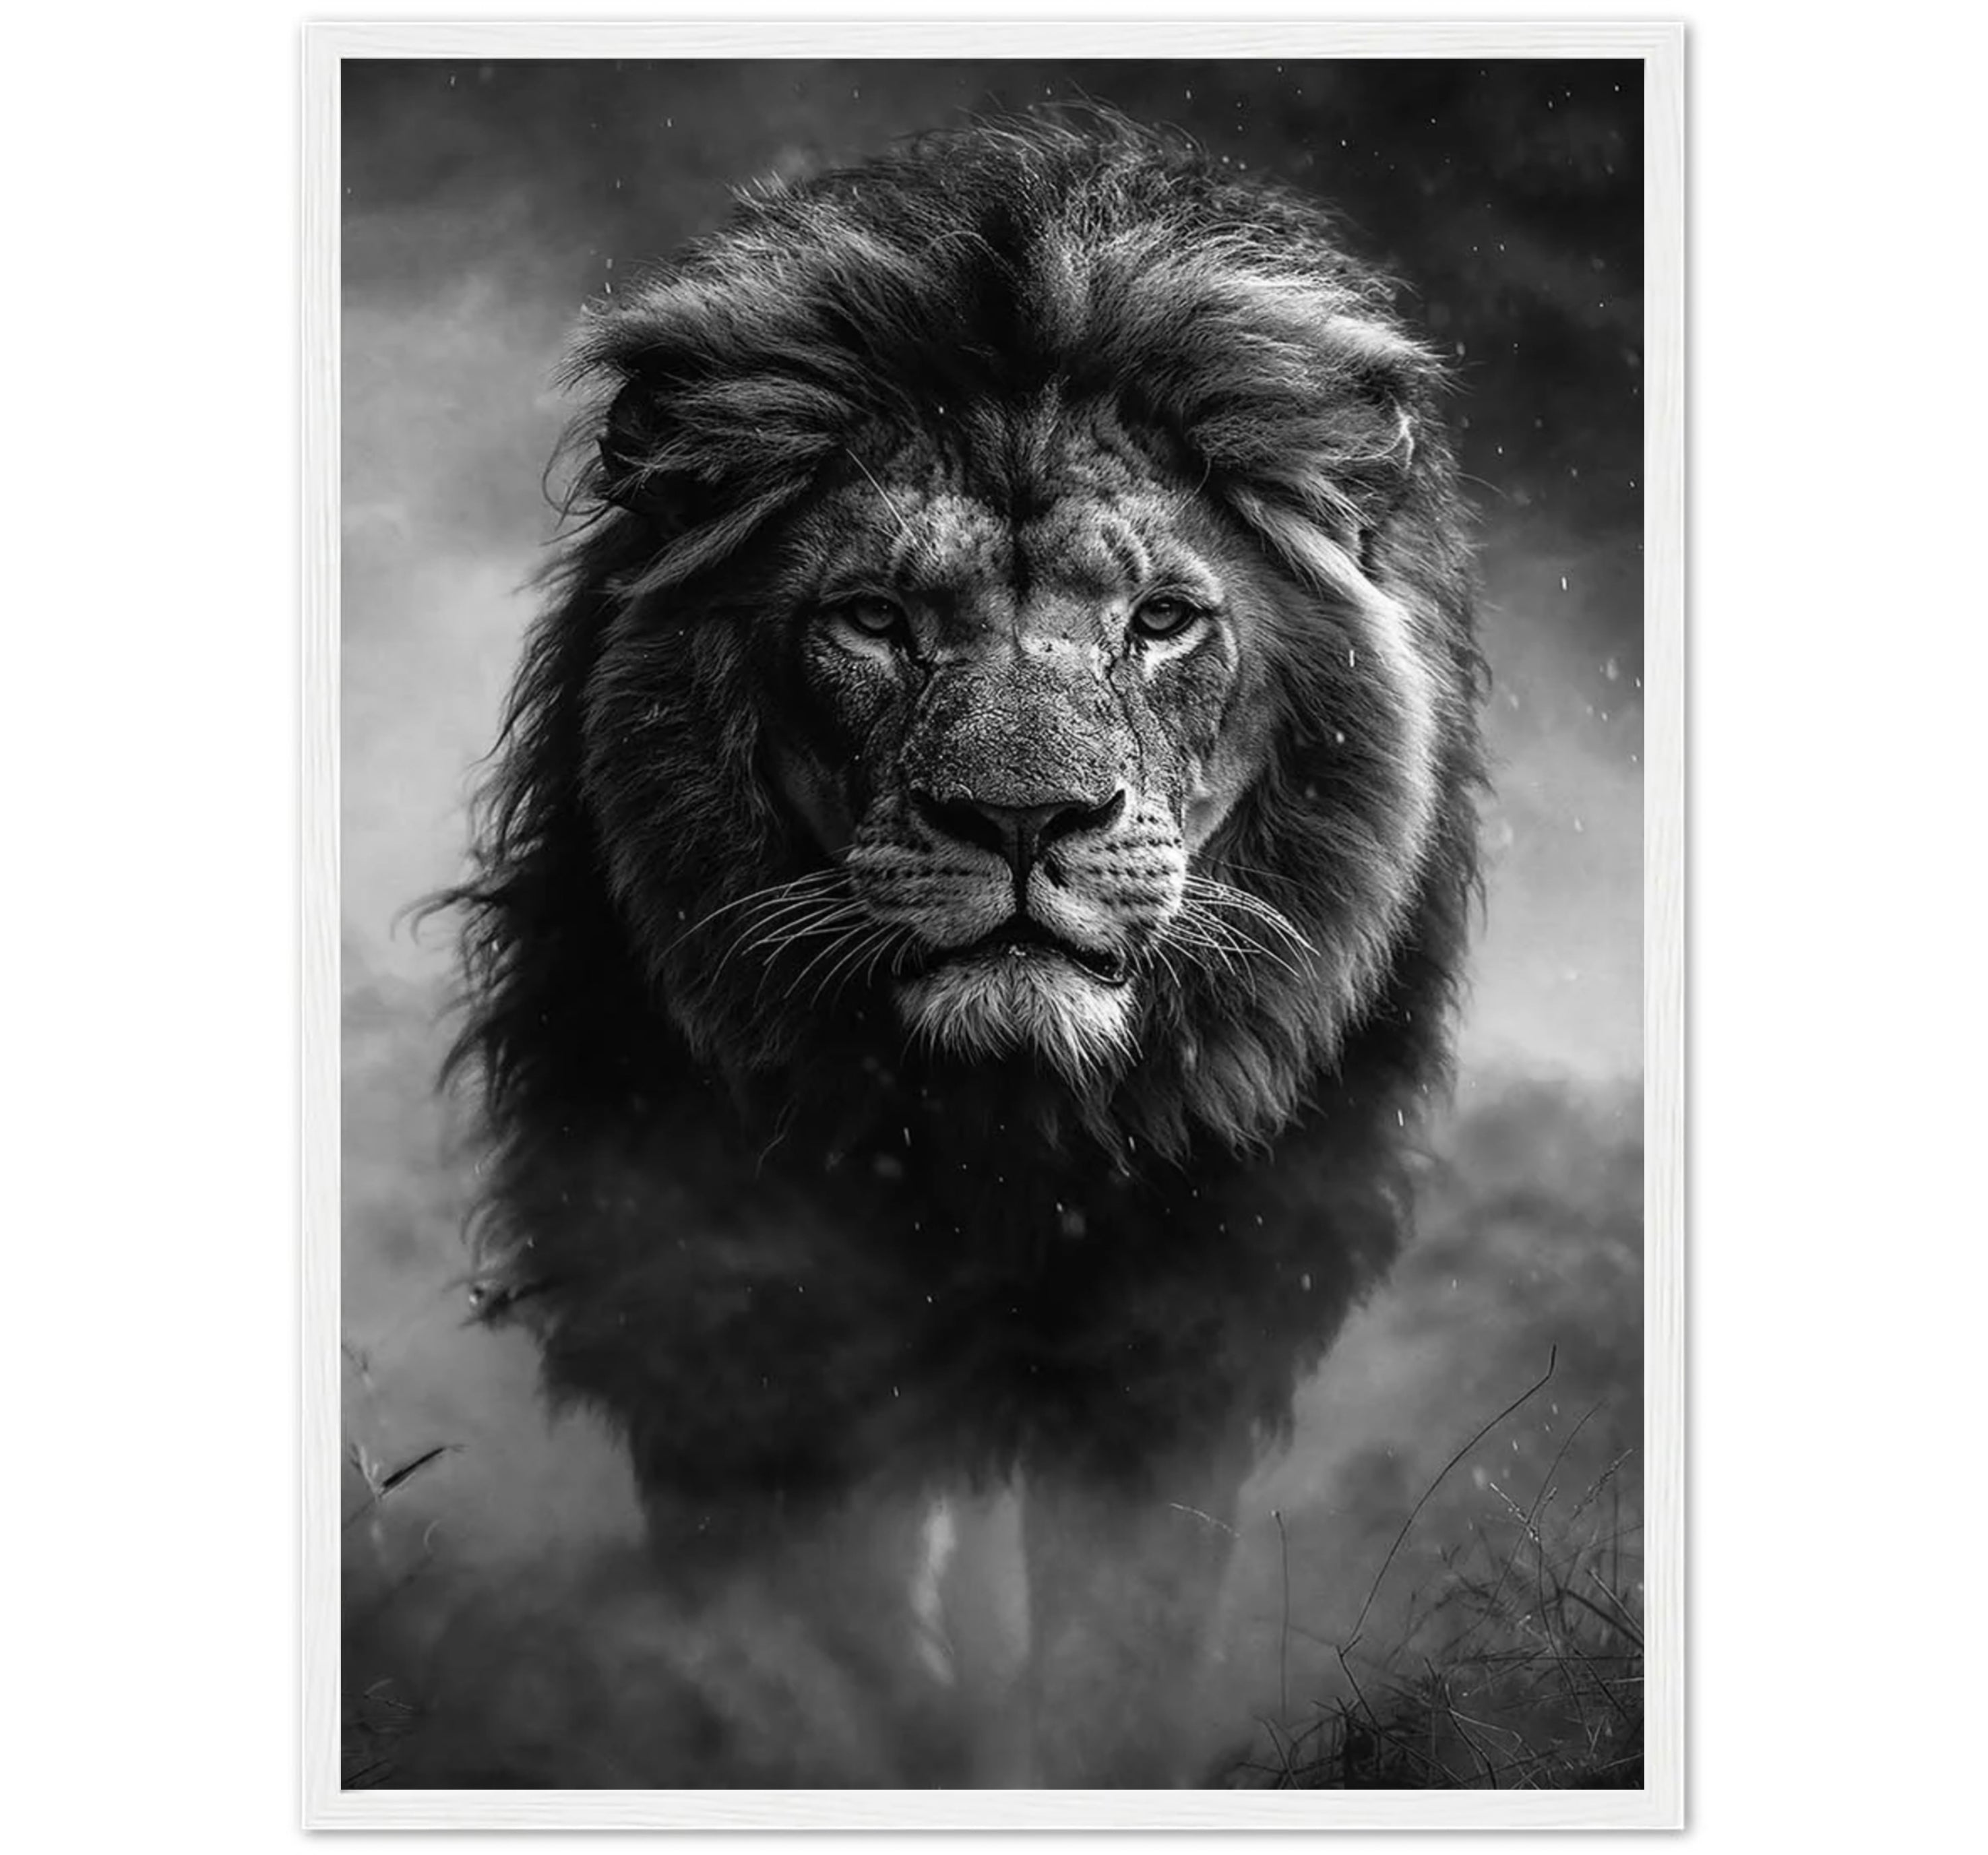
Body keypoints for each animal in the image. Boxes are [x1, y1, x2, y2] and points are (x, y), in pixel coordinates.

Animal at [436, 116, 1484, 1786]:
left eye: (1163, 619)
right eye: (870, 617)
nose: (1021, 818)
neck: (998, 1130)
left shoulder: (1174, 1341)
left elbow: (1118, 1644)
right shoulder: (730, 1321)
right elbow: (822, 1639)